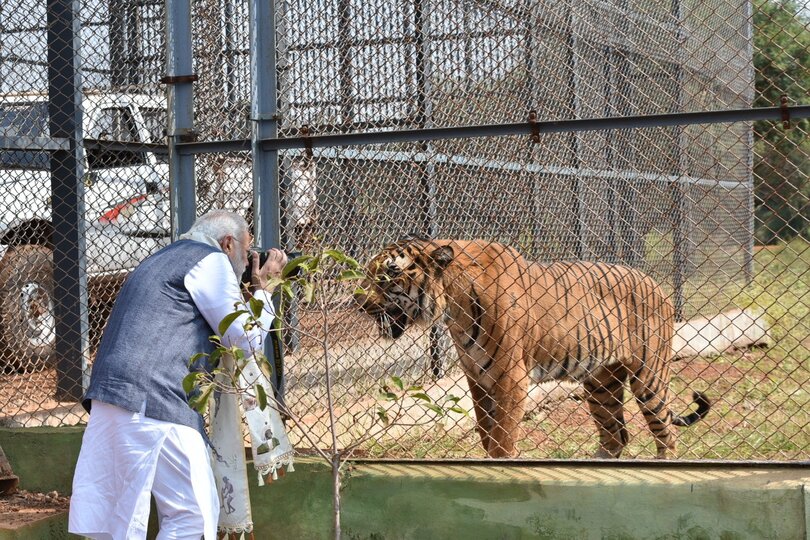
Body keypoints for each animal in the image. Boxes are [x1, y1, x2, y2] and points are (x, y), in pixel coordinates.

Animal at [354, 238, 708, 458]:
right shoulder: (477, 378)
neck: (452, 307)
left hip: (648, 376)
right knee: (615, 436)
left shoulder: (511, 378)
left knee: (666, 436)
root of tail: (656, 284)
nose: (358, 303)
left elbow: (501, 439)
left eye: (387, 275)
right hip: (601, 384)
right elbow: (486, 432)